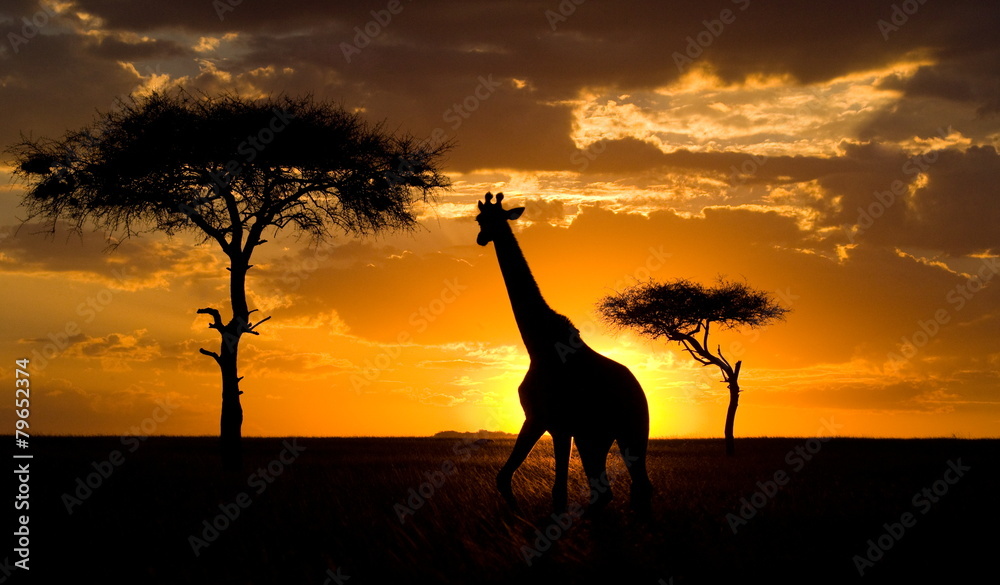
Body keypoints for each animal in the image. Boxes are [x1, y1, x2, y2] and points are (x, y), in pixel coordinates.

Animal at [476, 190, 656, 512]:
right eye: (479, 219)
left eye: (493, 220)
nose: (481, 238)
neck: (539, 345)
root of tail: (641, 391)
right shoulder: (555, 423)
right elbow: (520, 480)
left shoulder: (545, 419)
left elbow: (545, 489)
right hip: (597, 435)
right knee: (608, 491)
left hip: (631, 430)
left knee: (637, 487)